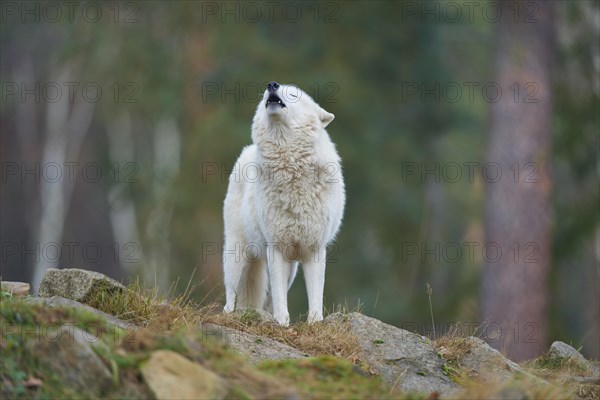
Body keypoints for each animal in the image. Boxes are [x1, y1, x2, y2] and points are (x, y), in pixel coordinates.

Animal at [223, 81, 344, 324]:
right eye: (263, 96)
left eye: (294, 94)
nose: (272, 85)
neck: (291, 168)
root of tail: (247, 150)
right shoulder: (276, 248)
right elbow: (279, 298)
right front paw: (281, 323)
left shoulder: (314, 249)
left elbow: (315, 295)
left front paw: (315, 323)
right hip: (236, 252)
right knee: (231, 293)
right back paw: (230, 314)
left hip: (291, 269)